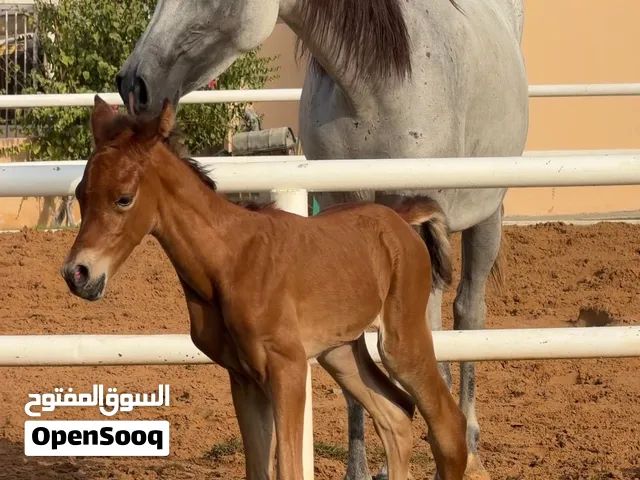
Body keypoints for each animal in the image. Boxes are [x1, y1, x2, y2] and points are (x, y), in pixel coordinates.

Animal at [60, 95, 468, 480]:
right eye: (81, 194)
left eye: (124, 198)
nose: (77, 273)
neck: (230, 260)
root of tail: (399, 219)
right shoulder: (244, 377)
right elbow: (258, 469)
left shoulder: (287, 367)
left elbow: (289, 468)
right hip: (339, 352)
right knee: (396, 415)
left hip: (401, 340)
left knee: (447, 425)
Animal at [115, 0, 529, 478]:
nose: (133, 83)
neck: (375, 88)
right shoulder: (339, 200)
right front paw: (359, 467)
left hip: (486, 217)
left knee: (468, 314)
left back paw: (471, 444)